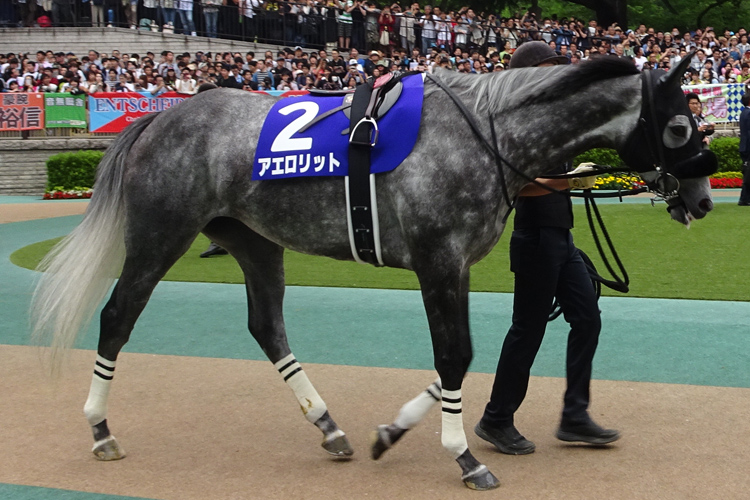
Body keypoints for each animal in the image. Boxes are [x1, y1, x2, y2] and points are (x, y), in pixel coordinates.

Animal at [32, 53, 720, 488]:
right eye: (679, 125)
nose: (704, 200)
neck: (487, 134)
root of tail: (159, 116)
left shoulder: (455, 265)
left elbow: (463, 356)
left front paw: (392, 433)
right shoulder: (438, 260)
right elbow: (456, 355)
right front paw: (464, 456)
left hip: (255, 241)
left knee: (267, 327)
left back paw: (328, 427)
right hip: (160, 234)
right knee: (118, 315)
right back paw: (100, 430)